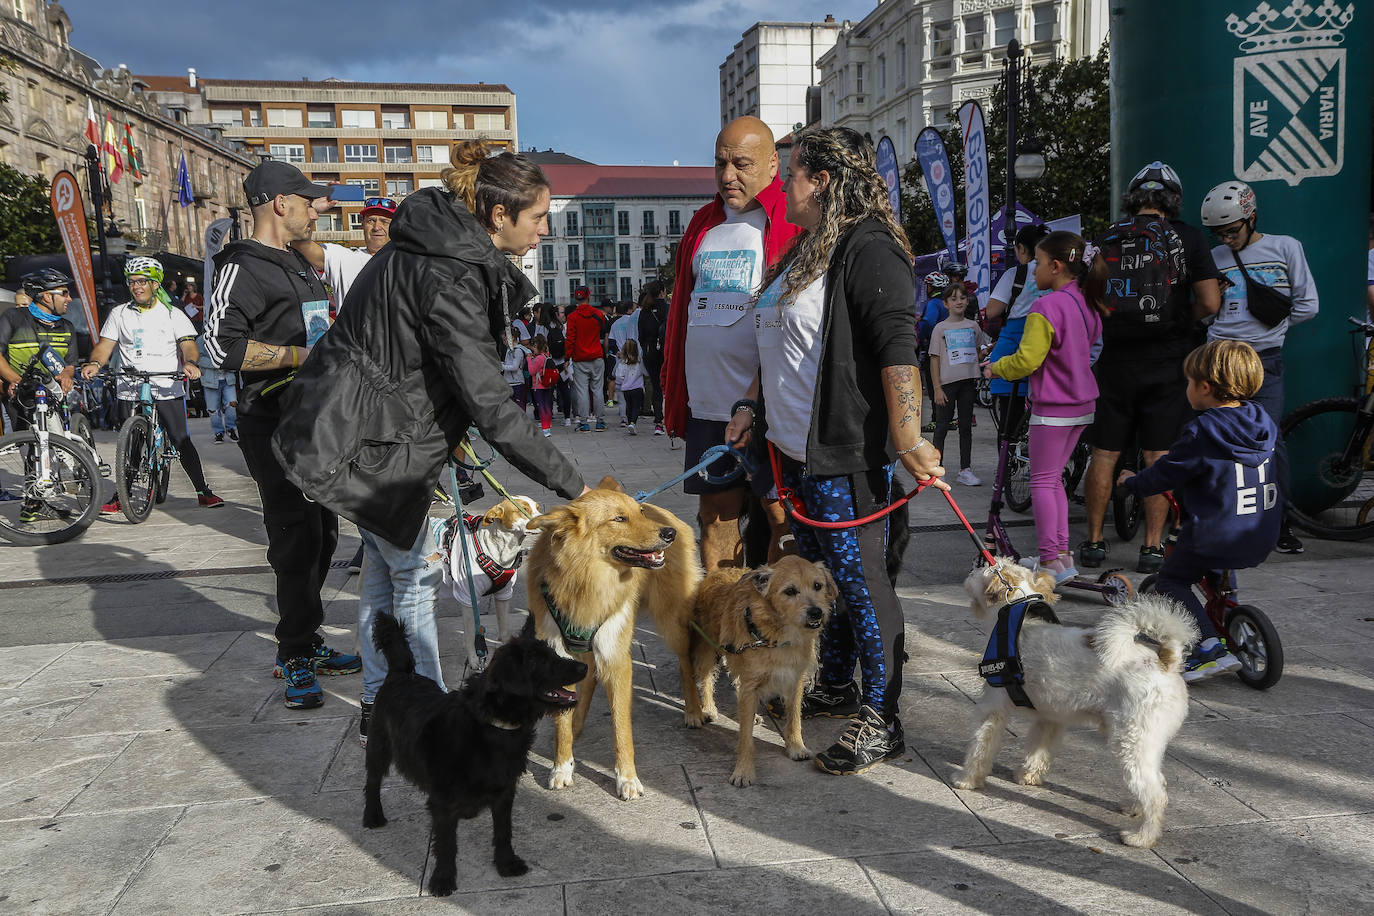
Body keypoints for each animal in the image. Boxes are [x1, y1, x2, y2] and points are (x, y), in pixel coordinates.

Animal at [359, 609, 585, 895]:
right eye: (540, 662)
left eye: (553, 654)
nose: (584, 667)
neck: (493, 726)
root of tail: (402, 672)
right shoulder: (443, 802)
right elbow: (446, 843)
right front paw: (443, 878)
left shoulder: (504, 793)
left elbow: (503, 832)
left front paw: (506, 863)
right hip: (378, 747)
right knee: (372, 781)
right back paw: (372, 815)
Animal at [519, 480, 703, 802]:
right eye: (619, 518)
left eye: (639, 512)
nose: (669, 534)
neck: (587, 579)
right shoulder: (560, 655)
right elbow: (562, 724)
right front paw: (562, 767)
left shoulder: (617, 659)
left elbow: (621, 727)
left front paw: (627, 778)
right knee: (590, 674)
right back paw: (578, 721)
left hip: (671, 621)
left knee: (685, 661)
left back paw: (693, 710)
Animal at [687, 560, 835, 791]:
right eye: (790, 591)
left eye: (818, 585)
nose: (816, 612)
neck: (779, 636)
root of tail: (717, 572)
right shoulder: (751, 684)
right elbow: (745, 739)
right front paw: (743, 771)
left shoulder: (794, 681)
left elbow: (794, 719)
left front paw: (795, 746)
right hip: (706, 649)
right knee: (706, 679)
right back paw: (709, 709)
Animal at [956, 560, 1203, 851]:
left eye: (985, 566)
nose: (972, 568)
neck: (1018, 622)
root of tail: (1167, 661)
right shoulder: (1050, 717)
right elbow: (1038, 750)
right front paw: (1028, 776)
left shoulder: (991, 710)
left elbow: (979, 749)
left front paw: (968, 780)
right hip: (1145, 743)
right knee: (1157, 781)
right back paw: (1133, 808)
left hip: (1130, 742)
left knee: (1155, 794)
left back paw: (1141, 837)